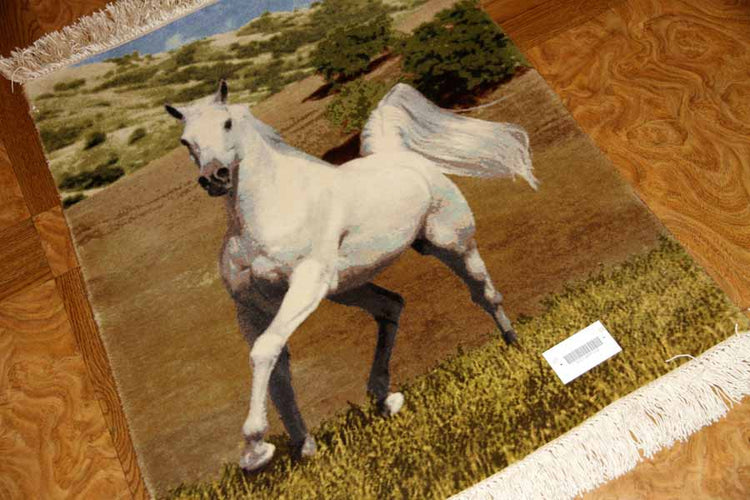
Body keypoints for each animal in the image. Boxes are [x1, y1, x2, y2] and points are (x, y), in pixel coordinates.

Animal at [164, 79, 538, 471]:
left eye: (226, 124)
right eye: (185, 141)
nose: (214, 177)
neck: (272, 210)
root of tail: (398, 156)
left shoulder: (305, 285)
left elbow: (265, 351)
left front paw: (256, 450)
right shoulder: (250, 307)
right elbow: (276, 367)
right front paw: (303, 449)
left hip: (452, 245)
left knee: (483, 294)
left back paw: (513, 344)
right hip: (347, 287)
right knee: (391, 306)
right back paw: (384, 399)